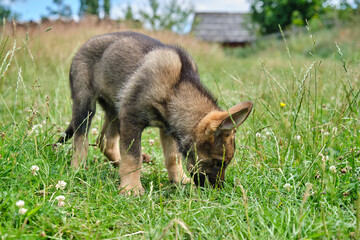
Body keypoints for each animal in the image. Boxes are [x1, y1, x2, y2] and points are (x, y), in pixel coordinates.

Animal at [59, 31, 253, 195]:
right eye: (219, 162)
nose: (218, 190)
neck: (175, 89)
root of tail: (84, 45)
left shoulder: (168, 128)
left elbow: (172, 158)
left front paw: (180, 181)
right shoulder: (131, 119)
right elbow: (132, 156)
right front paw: (131, 188)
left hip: (115, 109)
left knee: (105, 141)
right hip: (86, 105)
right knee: (81, 139)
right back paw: (77, 168)